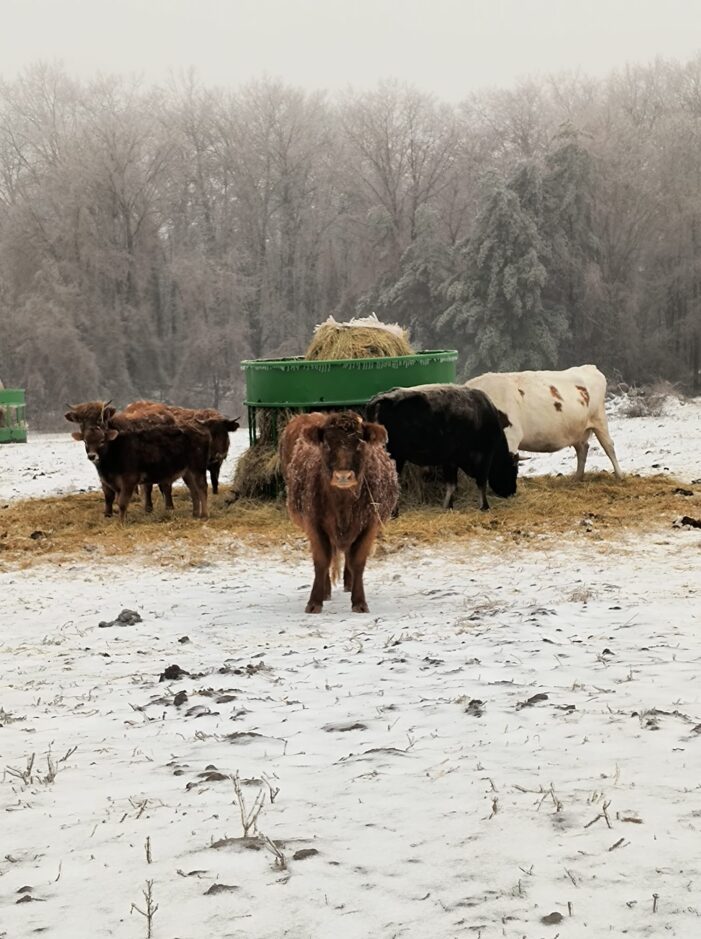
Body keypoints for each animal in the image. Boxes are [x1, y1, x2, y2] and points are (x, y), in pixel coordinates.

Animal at [280, 412, 400, 616]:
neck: (342, 506)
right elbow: (322, 561)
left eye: (360, 444)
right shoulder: (314, 524)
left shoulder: (370, 524)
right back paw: (326, 591)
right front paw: (315, 601)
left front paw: (359, 602)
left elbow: (357, 561)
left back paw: (349, 584)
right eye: (327, 445)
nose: (343, 476)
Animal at [364, 384, 516, 510]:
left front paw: (448, 506)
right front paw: (484, 506)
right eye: (513, 470)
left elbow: (451, 485)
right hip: (395, 457)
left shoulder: (451, 461)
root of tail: (382, 398)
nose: (512, 491)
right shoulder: (484, 457)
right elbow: (481, 483)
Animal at [468, 366, 620, 482]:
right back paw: (577, 477)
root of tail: (590, 367)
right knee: (583, 448)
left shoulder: (511, 436)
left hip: (599, 419)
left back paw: (619, 475)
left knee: (608, 446)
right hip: (578, 430)